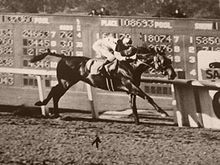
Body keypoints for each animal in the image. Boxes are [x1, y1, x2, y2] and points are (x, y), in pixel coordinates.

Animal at [30, 47, 176, 124]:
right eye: (164, 62)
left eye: (170, 60)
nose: (173, 75)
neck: (131, 65)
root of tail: (64, 57)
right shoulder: (130, 85)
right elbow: (148, 97)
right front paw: (163, 113)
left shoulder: (130, 89)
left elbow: (133, 105)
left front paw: (137, 121)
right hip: (66, 81)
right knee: (55, 92)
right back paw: (44, 105)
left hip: (68, 82)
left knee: (56, 93)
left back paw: (54, 112)